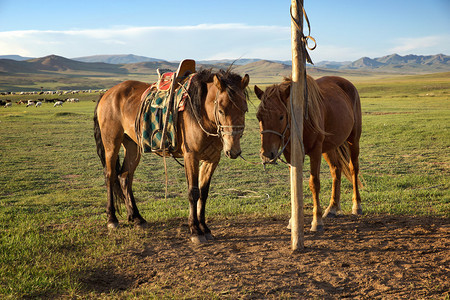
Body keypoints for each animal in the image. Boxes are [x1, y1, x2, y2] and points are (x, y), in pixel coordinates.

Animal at [94, 69, 250, 244]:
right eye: (221, 110)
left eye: (245, 110)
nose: (233, 151)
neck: (200, 113)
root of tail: (107, 93)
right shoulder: (191, 157)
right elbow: (193, 192)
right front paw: (195, 231)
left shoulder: (212, 159)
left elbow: (203, 193)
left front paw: (205, 228)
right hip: (111, 144)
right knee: (110, 175)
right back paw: (112, 219)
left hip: (133, 146)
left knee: (125, 177)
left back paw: (137, 218)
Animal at [256, 76, 362, 231]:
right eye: (259, 117)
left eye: (281, 116)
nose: (267, 154)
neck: (301, 122)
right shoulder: (291, 155)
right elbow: (294, 185)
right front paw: (293, 221)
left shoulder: (315, 152)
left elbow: (314, 183)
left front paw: (316, 221)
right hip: (329, 147)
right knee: (336, 170)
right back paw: (332, 208)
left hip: (353, 140)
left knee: (353, 169)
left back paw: (357, 205)